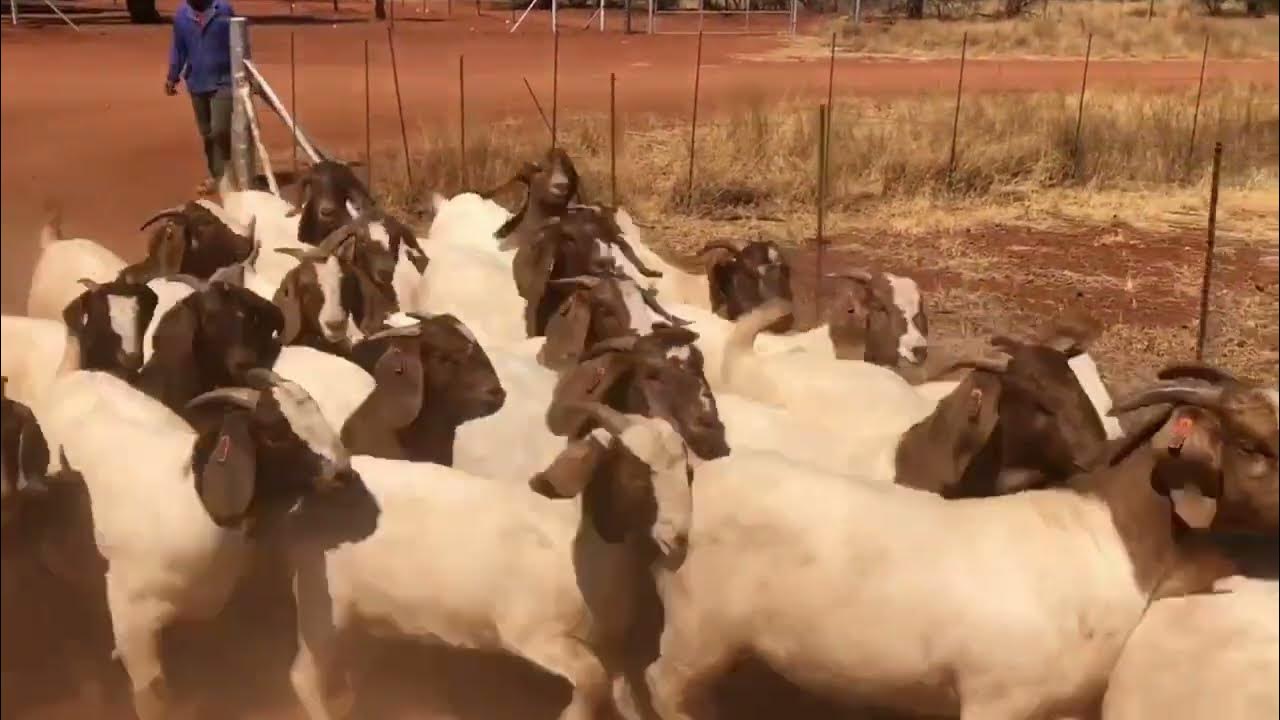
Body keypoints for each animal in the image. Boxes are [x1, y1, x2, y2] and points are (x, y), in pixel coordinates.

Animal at [635, 367, 1278, 720]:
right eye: (1252, 447)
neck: (1106, 539)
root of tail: (694, 477)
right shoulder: (996, 699)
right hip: (697, 630)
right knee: (661, 685)